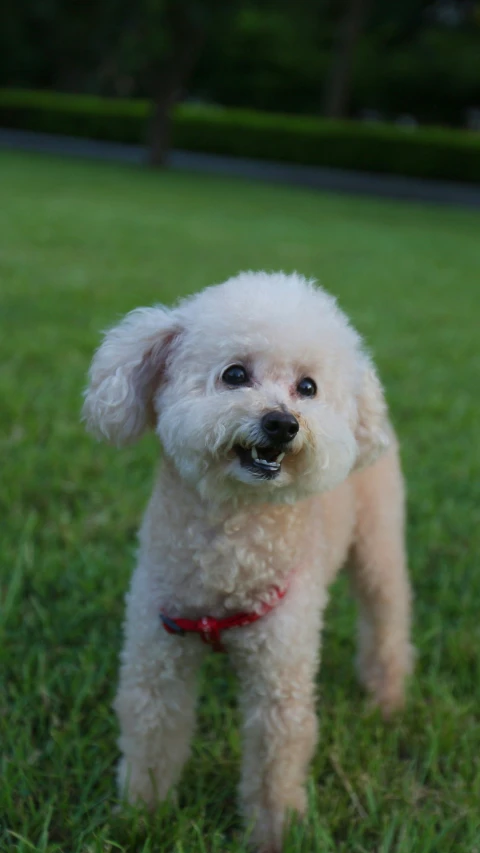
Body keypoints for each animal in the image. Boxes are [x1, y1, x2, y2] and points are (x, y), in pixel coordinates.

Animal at [82, 272, 412, 852]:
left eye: (308, 387)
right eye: (234, 374)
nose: (282, 424)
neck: (232, 538)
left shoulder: (280, 672)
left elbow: (275, 765)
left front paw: (274, 834)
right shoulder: (156, 652)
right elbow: (152, 732)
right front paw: (140, 818)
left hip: (379, 543)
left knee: (386, 618)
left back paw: (387, 701)